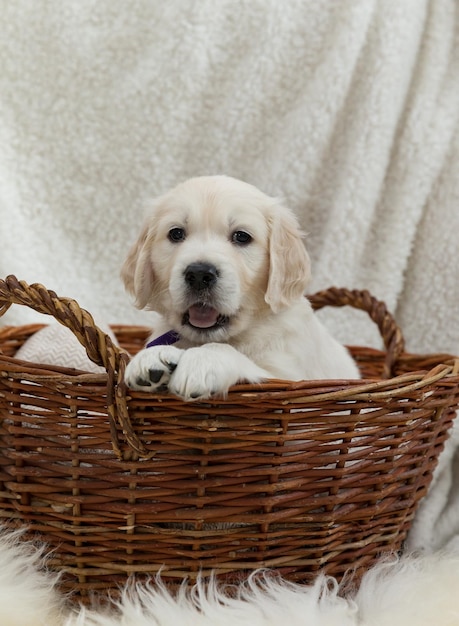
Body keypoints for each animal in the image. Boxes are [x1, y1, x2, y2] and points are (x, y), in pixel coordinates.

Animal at [122, 174, 360, 400]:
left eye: (242, 236)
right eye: (176, 233)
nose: (199, 274)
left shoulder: (289, 378)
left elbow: (227, 352)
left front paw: (202, 361)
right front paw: (153, 356)